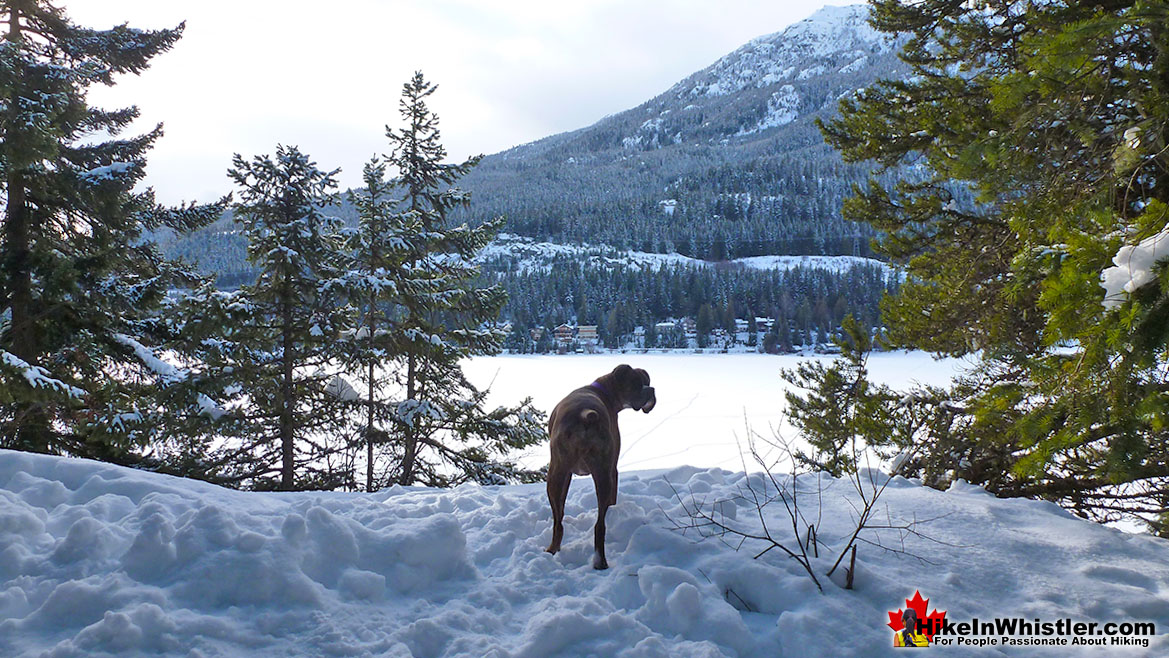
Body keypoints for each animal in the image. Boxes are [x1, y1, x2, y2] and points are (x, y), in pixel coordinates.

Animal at [542, 364, 654, 572]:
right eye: (637, 383)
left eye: (647, 382)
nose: (651, 390)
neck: (604, 390)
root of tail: (586, 416)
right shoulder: (612, 470)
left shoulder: (568, 474)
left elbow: (561, 510)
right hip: (599, 474)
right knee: (598, 523)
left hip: (561, 474)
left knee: (563, 522)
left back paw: (558, 551)